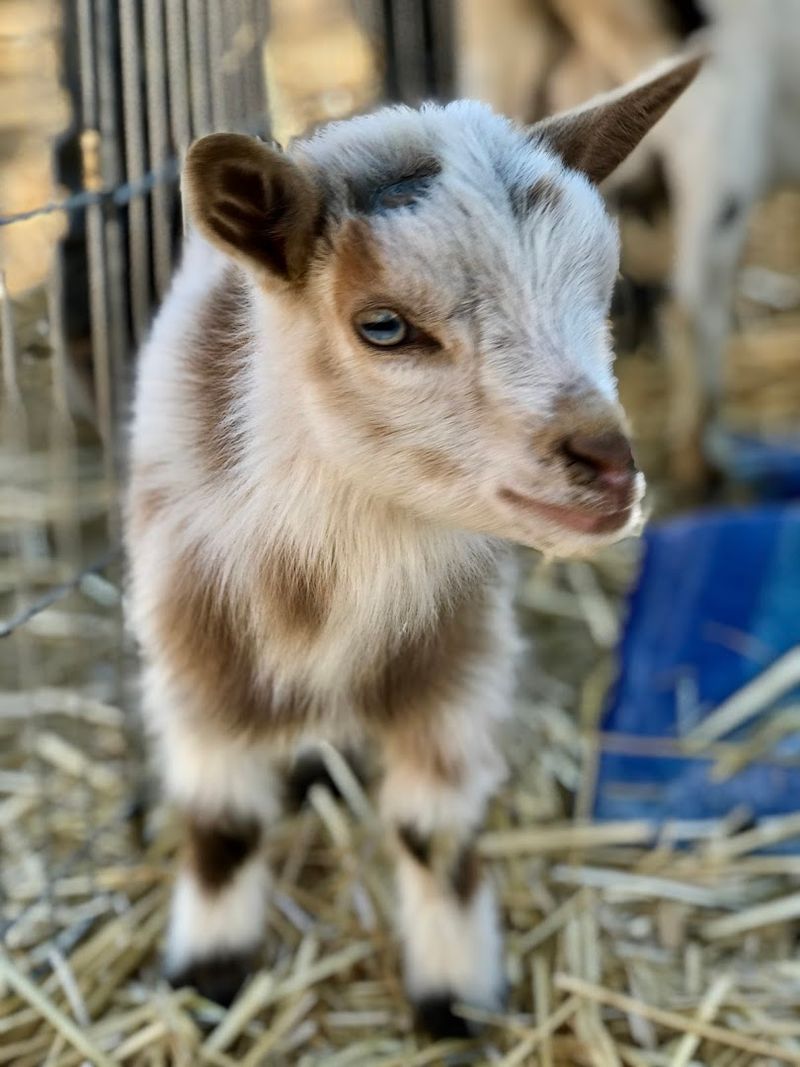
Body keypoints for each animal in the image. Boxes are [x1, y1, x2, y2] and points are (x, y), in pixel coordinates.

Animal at [125, 57, 697, 1037]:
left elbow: (436, 832)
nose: (611, 469)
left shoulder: (454, 662)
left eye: (606, 292)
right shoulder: (194, 656)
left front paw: (456, 998)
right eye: (384, 325)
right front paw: (208, 975)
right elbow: (224, 823)